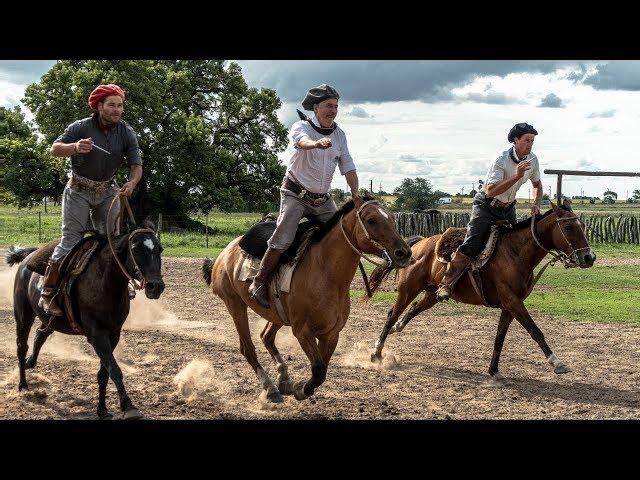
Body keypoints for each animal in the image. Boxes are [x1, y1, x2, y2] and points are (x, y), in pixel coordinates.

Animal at [5, 218, 165, 420]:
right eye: (135, 248)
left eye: (160, 249)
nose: (155, 286)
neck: (105, 282)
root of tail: (28, 258)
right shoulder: (97, 336)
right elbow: (114, 369)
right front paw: (128, 406)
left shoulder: (114, 334)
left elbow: (104, 373)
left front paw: (102, 409)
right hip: (23, 314)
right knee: (21, 346)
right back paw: (23, 385)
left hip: (51, 319)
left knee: (40, 334)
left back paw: (30, 362)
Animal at [201, 197, 416, 404]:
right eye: (371, 220)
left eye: (392, 218)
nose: (404, 252)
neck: (325, 273)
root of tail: (224, 254)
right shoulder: (302, 330)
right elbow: (319, 369)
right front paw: (300, 390)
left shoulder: (331, 333)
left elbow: (322, 367)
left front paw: (296, 387)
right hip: (235, 305)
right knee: (248, 348)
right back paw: (271, 389)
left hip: (277, 315)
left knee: (266, 337)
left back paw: (284, 379)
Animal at [368, 200, 596, 382]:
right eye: (568, 227)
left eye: (583, 225)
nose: (589, 257)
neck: (515, 252)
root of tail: (418, 245)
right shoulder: (513, 301)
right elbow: (534, 330)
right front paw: (557, 362)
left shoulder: (509, 306)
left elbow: (499, 338)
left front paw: (493, 370)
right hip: (408, 289)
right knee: (391, 314)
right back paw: (376, 353)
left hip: (432, 293)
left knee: (414, 309)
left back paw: (397, 327)